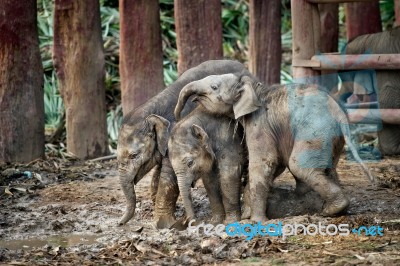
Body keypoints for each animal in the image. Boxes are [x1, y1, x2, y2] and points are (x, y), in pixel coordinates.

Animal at [175, 72, 376, 222]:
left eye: (214, 87)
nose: (176, 115)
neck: (255, 87)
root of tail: (341, 114)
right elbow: (276, 163)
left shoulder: (260, 124)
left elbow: (264, 162)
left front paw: (255, 221)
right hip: (331, 137)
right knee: (326, 167)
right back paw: (331, 208)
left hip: (315, 130)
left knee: (298, 166)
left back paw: (330, 210)